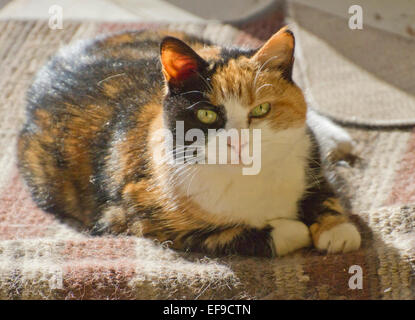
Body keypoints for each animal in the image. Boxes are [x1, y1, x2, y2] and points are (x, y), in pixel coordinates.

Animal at [17, 26, 360, 258]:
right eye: (207, 114)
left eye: (262, 109)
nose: (238, 143)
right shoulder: (137, 218)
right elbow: (227, 237)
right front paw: (293, 230)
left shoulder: (307, 153)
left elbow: (323, 191)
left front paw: (338, 230)